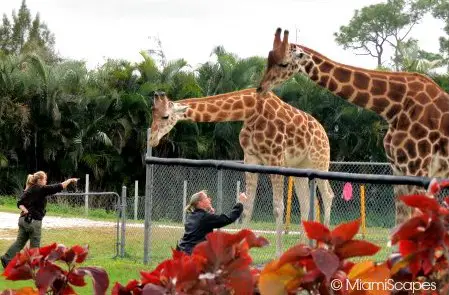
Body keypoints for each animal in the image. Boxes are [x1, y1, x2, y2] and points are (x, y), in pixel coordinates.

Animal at [149, 88, 334, 256]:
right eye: (153, 113)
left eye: (165, 116)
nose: (152, 139)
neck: (250, 111)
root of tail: (323, 132)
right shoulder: (250, 158)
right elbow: (248, 206)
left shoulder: (275, 157)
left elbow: (278, 207)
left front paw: (278, 255)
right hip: (299, 168)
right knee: (306, 202)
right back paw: (303, 248)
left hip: (320, 162)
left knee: (328, 195)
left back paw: (322, 247)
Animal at [254, 27, 448, 227]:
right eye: (268, 59)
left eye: (284, 64)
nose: (261, 87)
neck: (394, 106)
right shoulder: (399, 170)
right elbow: (399, 225)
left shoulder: (418, 169)